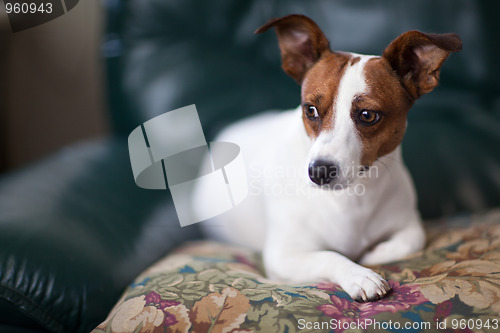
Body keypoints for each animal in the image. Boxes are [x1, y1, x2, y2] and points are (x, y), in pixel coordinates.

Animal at [193, 14, 462, 300]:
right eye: (310, 110)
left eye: (368, 115)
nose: (319, 172)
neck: (353, 198)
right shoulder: (283, 256)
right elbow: (329, 255)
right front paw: (359, 274)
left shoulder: (409, 225)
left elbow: (412, 241)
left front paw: (371, 254)